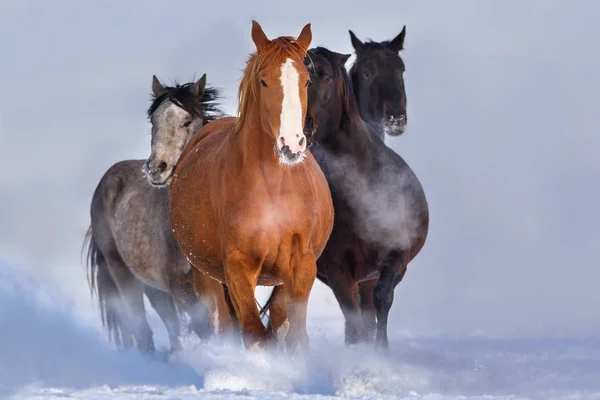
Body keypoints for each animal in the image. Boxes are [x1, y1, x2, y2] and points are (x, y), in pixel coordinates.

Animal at [169, 21, 336, 354]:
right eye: (264, 82)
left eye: (307, 81)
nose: (292, 144)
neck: (275, 189)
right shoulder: (238, 267)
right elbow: (255, 335)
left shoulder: (301, 266)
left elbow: (294, 335)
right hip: (206, 277)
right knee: (223, 323)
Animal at [266, 47, 426, 348]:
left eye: (327, 77)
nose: (301, 127)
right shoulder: (339, 271)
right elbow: (354, 321)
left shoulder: (395, 258)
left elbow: (382, 301)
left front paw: (380, 351)